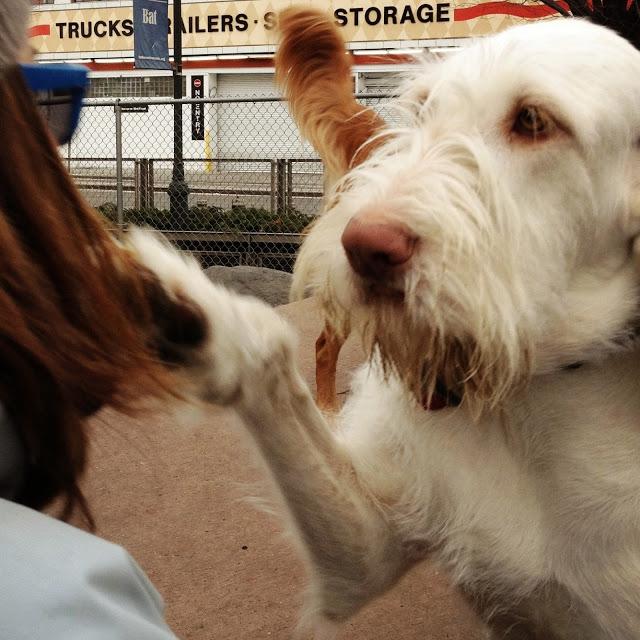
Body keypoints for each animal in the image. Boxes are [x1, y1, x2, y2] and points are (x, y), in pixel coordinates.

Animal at [132, 13, 640, 640]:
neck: (534, 390)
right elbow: (269, 360)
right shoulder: (366, 548)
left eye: (533, 120)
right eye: (423, 112)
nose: (363, 247)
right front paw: (185, 311)